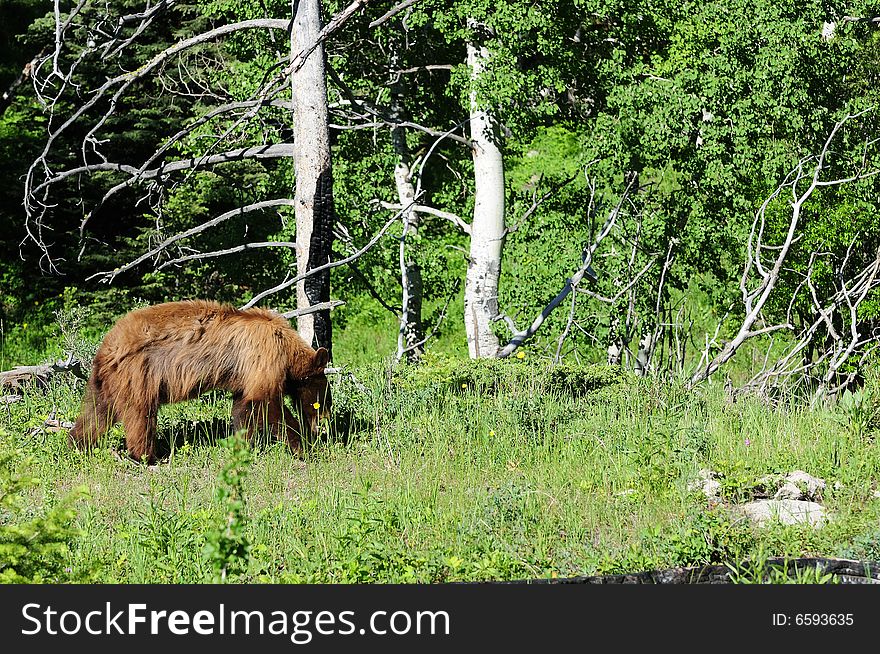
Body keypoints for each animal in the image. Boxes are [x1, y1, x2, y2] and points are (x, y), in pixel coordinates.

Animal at [69, 300, 330, 464]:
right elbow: (266, 402)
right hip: (139, 374)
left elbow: (242, 408)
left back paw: (77, 444)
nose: (324, 424)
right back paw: (146, 457)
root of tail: (107, 346)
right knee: (140, 416)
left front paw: (242, 444)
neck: (287, 350)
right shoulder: (265, 356)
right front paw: (305, 447)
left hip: (107, 382)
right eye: (323, 398)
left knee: (95, 415)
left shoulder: (245, 375)